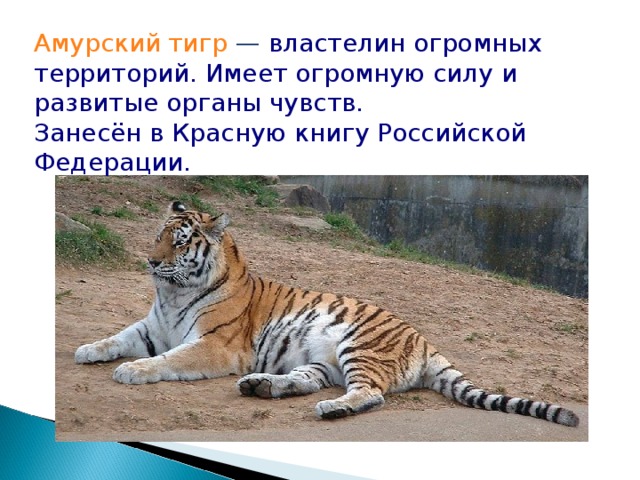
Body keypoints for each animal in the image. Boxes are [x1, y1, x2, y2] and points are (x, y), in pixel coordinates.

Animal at [75, 201, 579, 427]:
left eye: (179, 243)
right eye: (158, 235)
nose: (150, 261)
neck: (173, 294)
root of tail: (424, 340)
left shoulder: (215, 344)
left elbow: (168, 360)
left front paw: (132, 371)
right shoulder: (152, 327)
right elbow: (117, 336)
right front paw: (87, 350)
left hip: (358, 346)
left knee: (371, 395)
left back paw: (332, 409)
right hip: (320, 359)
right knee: (306, 379)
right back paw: (262, 386)